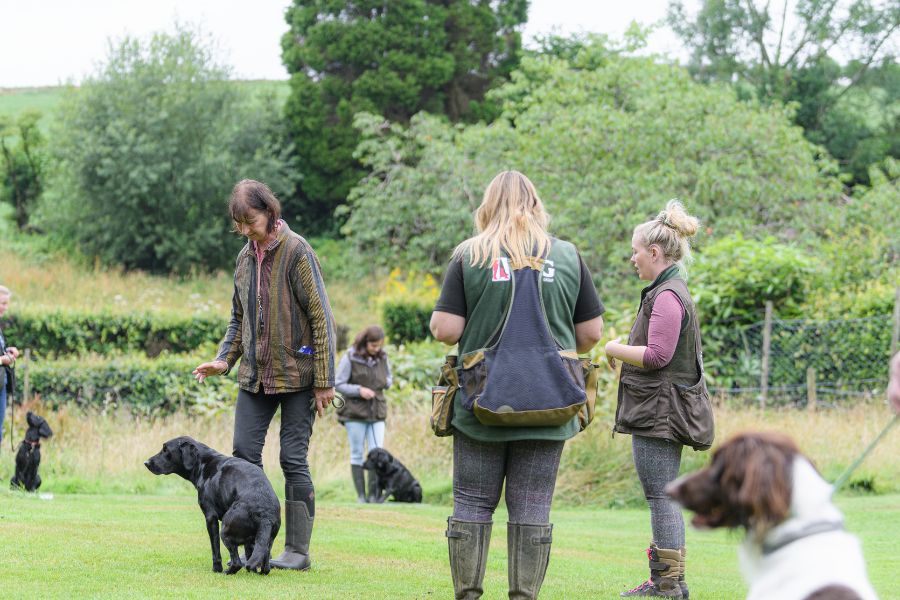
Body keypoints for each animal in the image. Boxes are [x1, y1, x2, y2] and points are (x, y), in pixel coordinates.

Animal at [144, 438, 282, 576]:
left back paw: (227, 572)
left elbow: (215, 549)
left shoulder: (210, 517)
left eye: (165, 449)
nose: (146, 463)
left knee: (237, 562)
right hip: (266, 540)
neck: (202, 463)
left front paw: (216, 569)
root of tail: (265, 514)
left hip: (225, 531)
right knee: (264, 564)